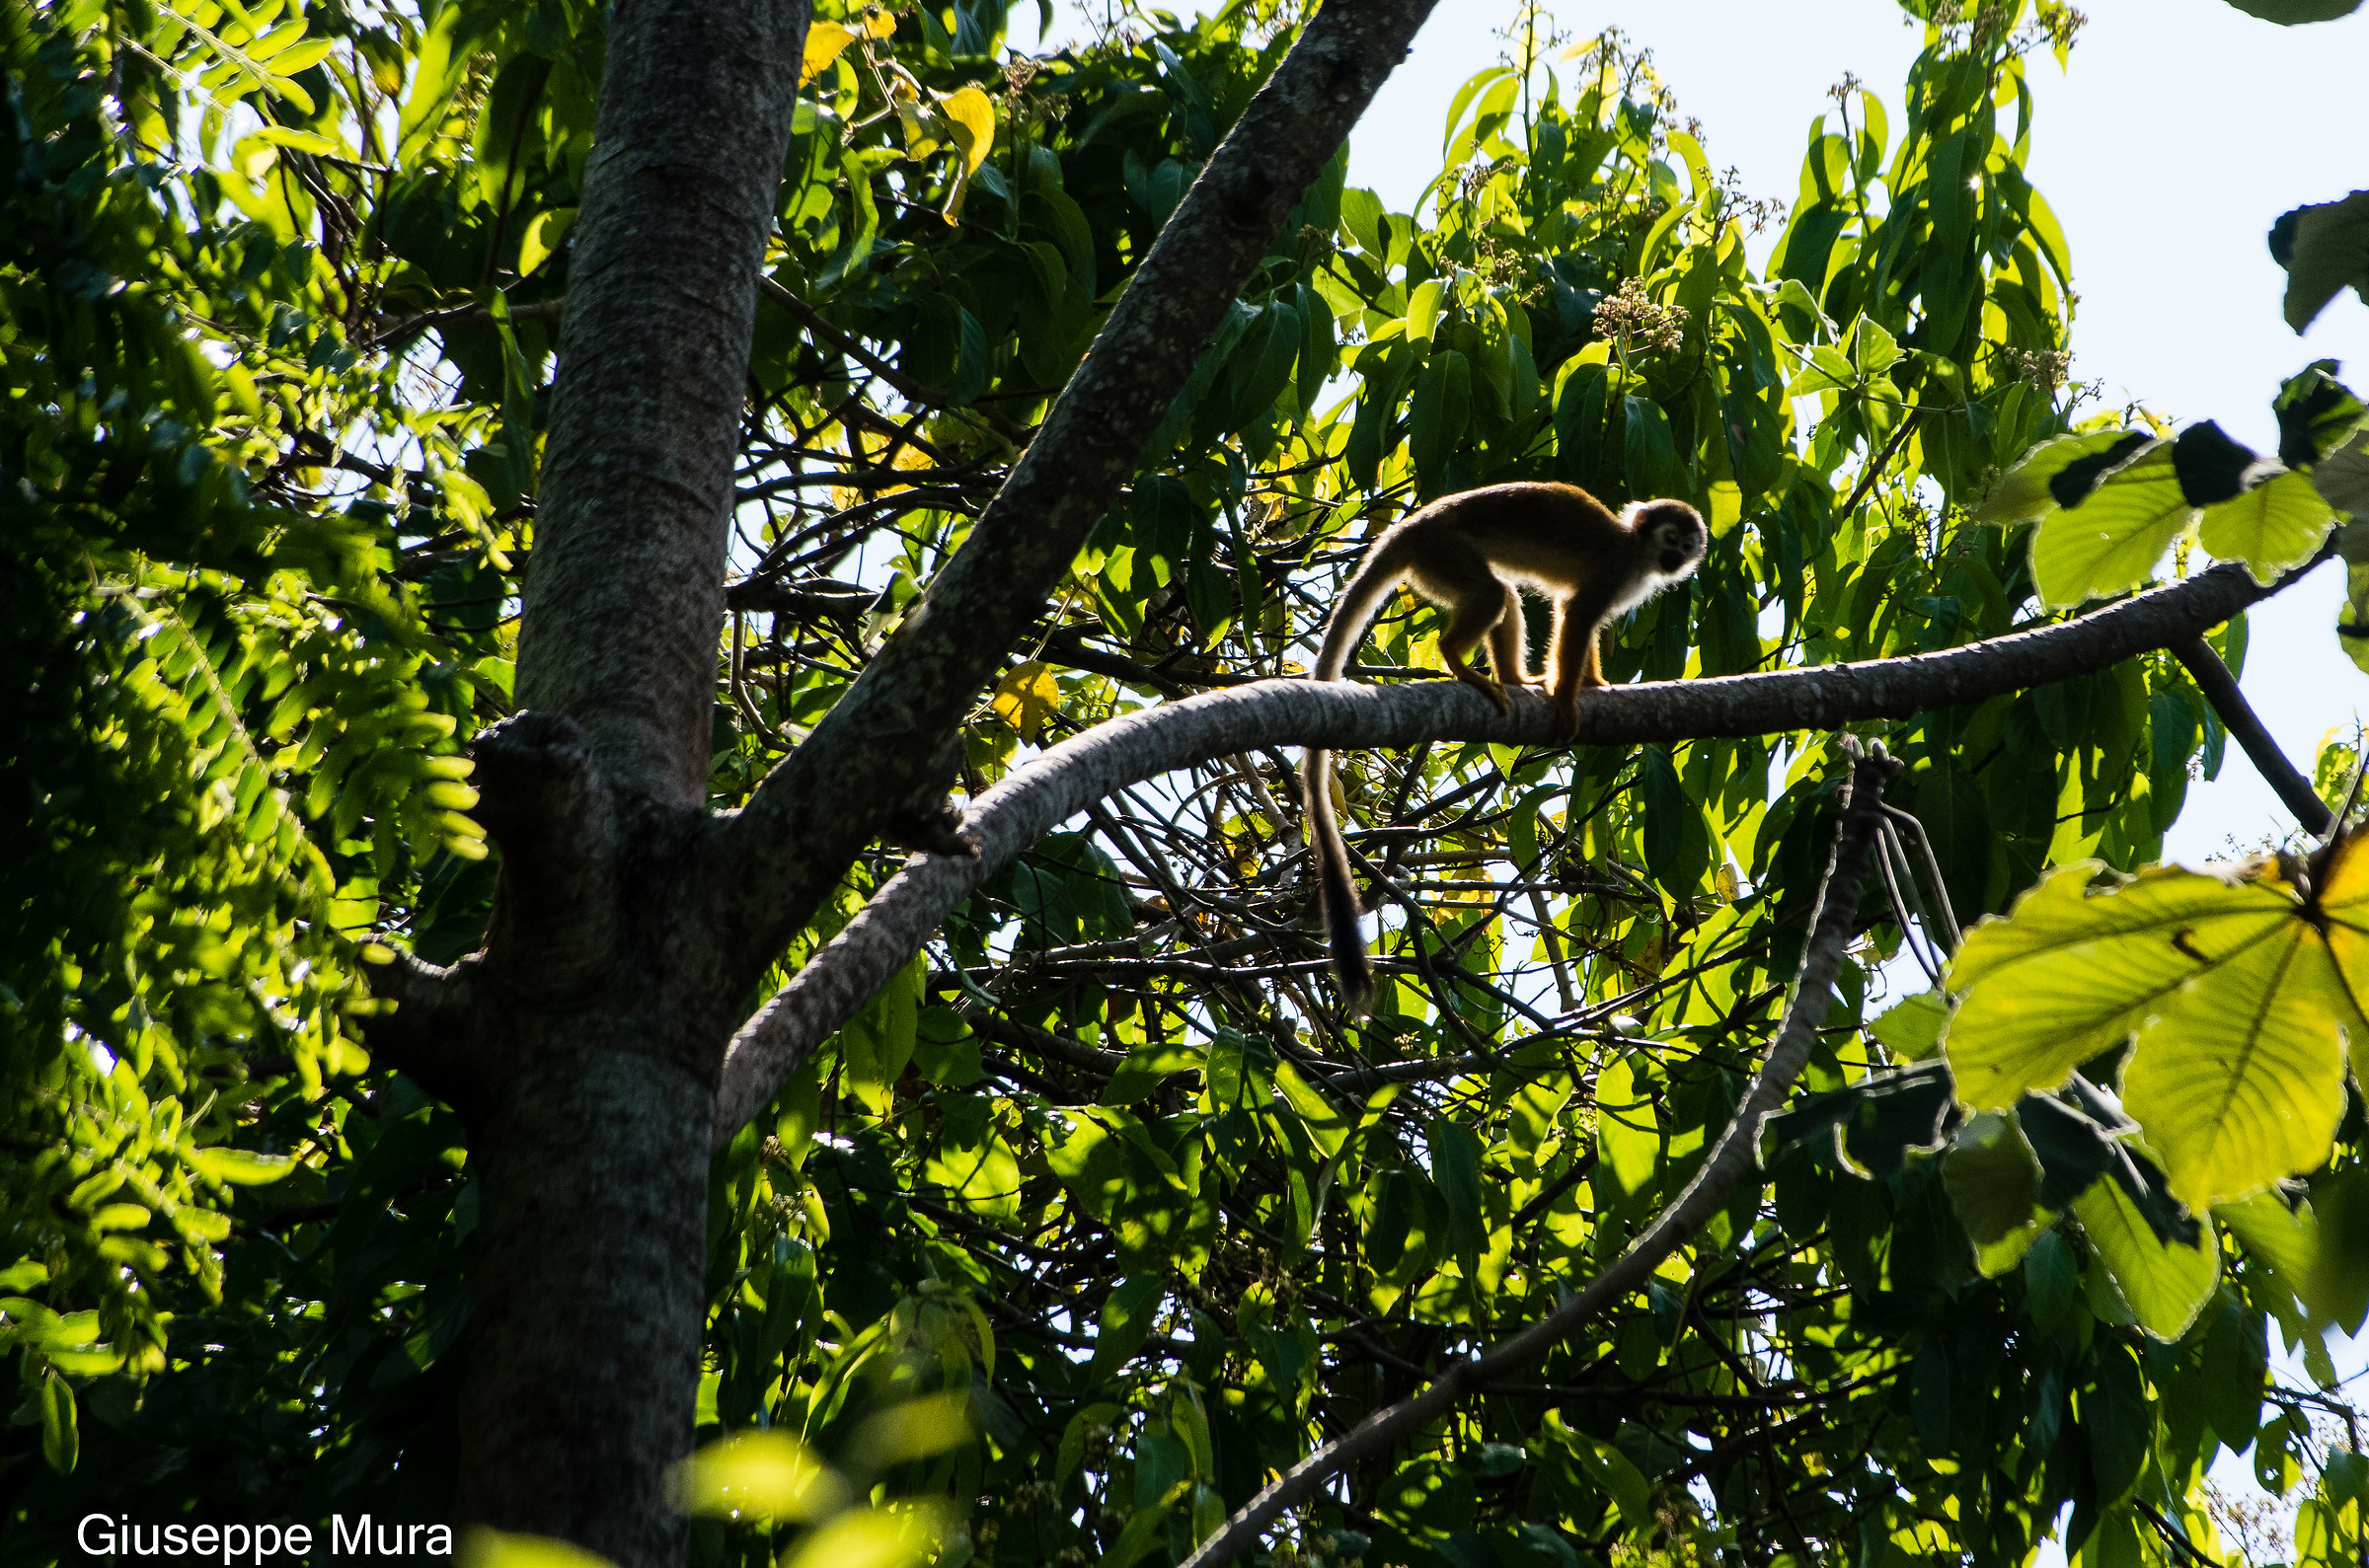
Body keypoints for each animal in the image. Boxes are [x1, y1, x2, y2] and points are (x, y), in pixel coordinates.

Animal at [1300, 482, 1707, 1013]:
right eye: (1670, 538)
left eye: (1687, 543)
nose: (1677, 556)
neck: (1638, 553)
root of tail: (1415, 524)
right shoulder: (1614, 570)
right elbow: (1578, 615)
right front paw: (1566, 697)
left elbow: (1575, 615)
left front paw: (1593, 683)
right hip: (1443, 553)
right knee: (1493, 594)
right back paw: (1457, 659)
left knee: (1505, 595)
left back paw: (1513, 678)